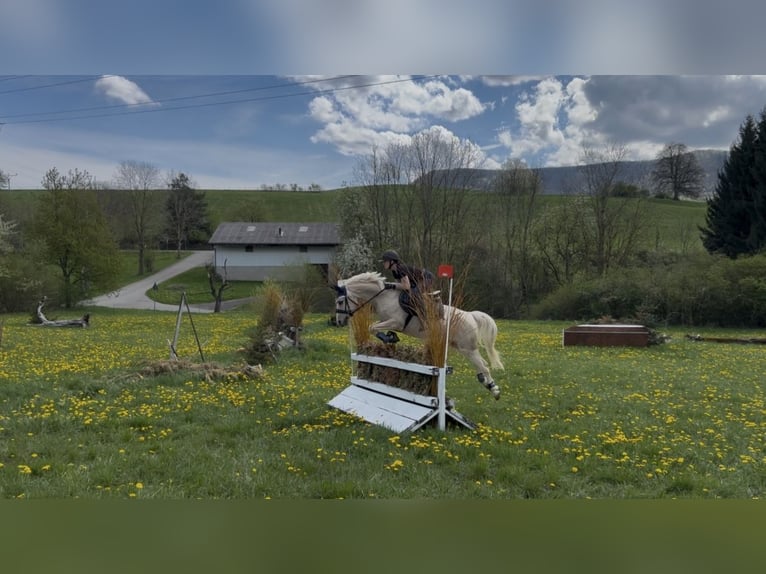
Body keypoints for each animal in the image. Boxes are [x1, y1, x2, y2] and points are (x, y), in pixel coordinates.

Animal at [334, 271, 503, 399]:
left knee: (484, 366)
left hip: (467, 348)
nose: (339, 321)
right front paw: (390, 337)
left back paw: (495, 390)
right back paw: (486, 383)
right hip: (461, 347)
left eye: (340, 301)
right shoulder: (386, 321)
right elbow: (374, 328)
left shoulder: (396, 322)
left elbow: (372, 327)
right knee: (482, 364)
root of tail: (470, 316)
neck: (383, 297)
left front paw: (389, 337)